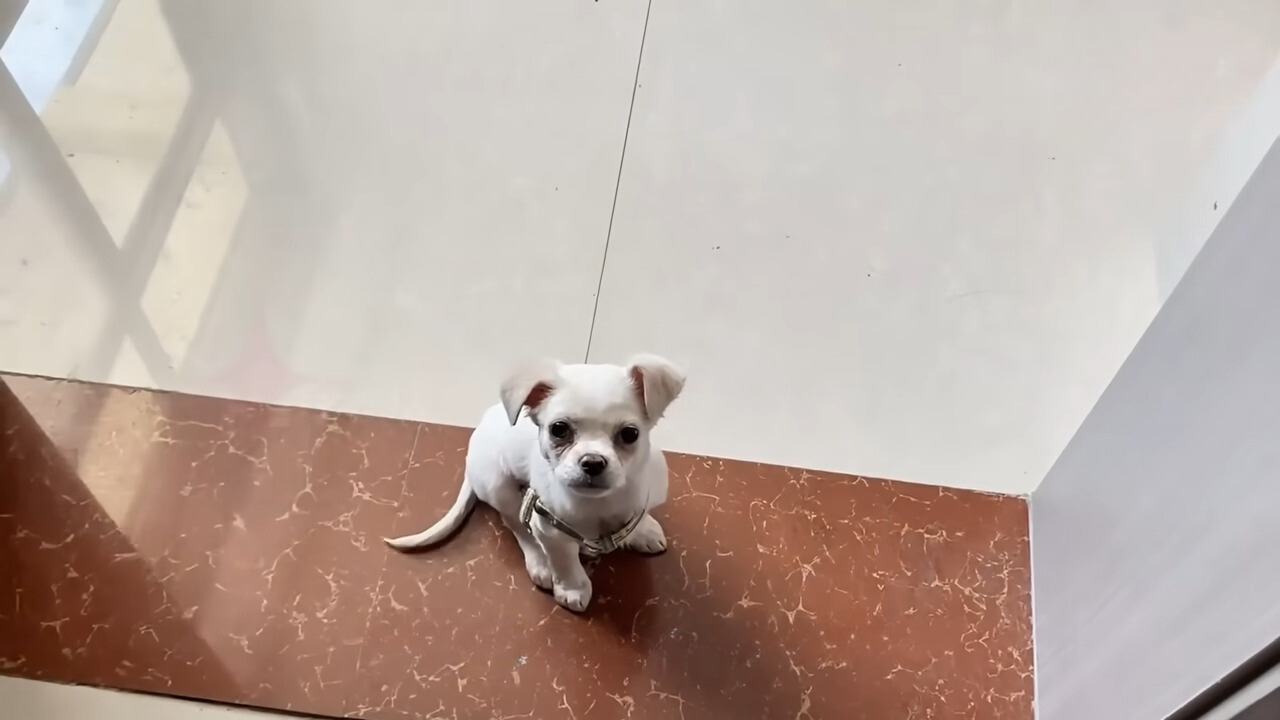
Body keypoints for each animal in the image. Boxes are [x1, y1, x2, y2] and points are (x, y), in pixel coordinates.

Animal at [384, 351, 686, 607]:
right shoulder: (550, 527)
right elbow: (565, 560)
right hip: (501, 488)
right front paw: (573, 589)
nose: (592, 462)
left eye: (630, 434)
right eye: (559, 429)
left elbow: (639, 515)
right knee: (517, 526)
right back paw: (539, 563)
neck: (600, 506)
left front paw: (643, 531)